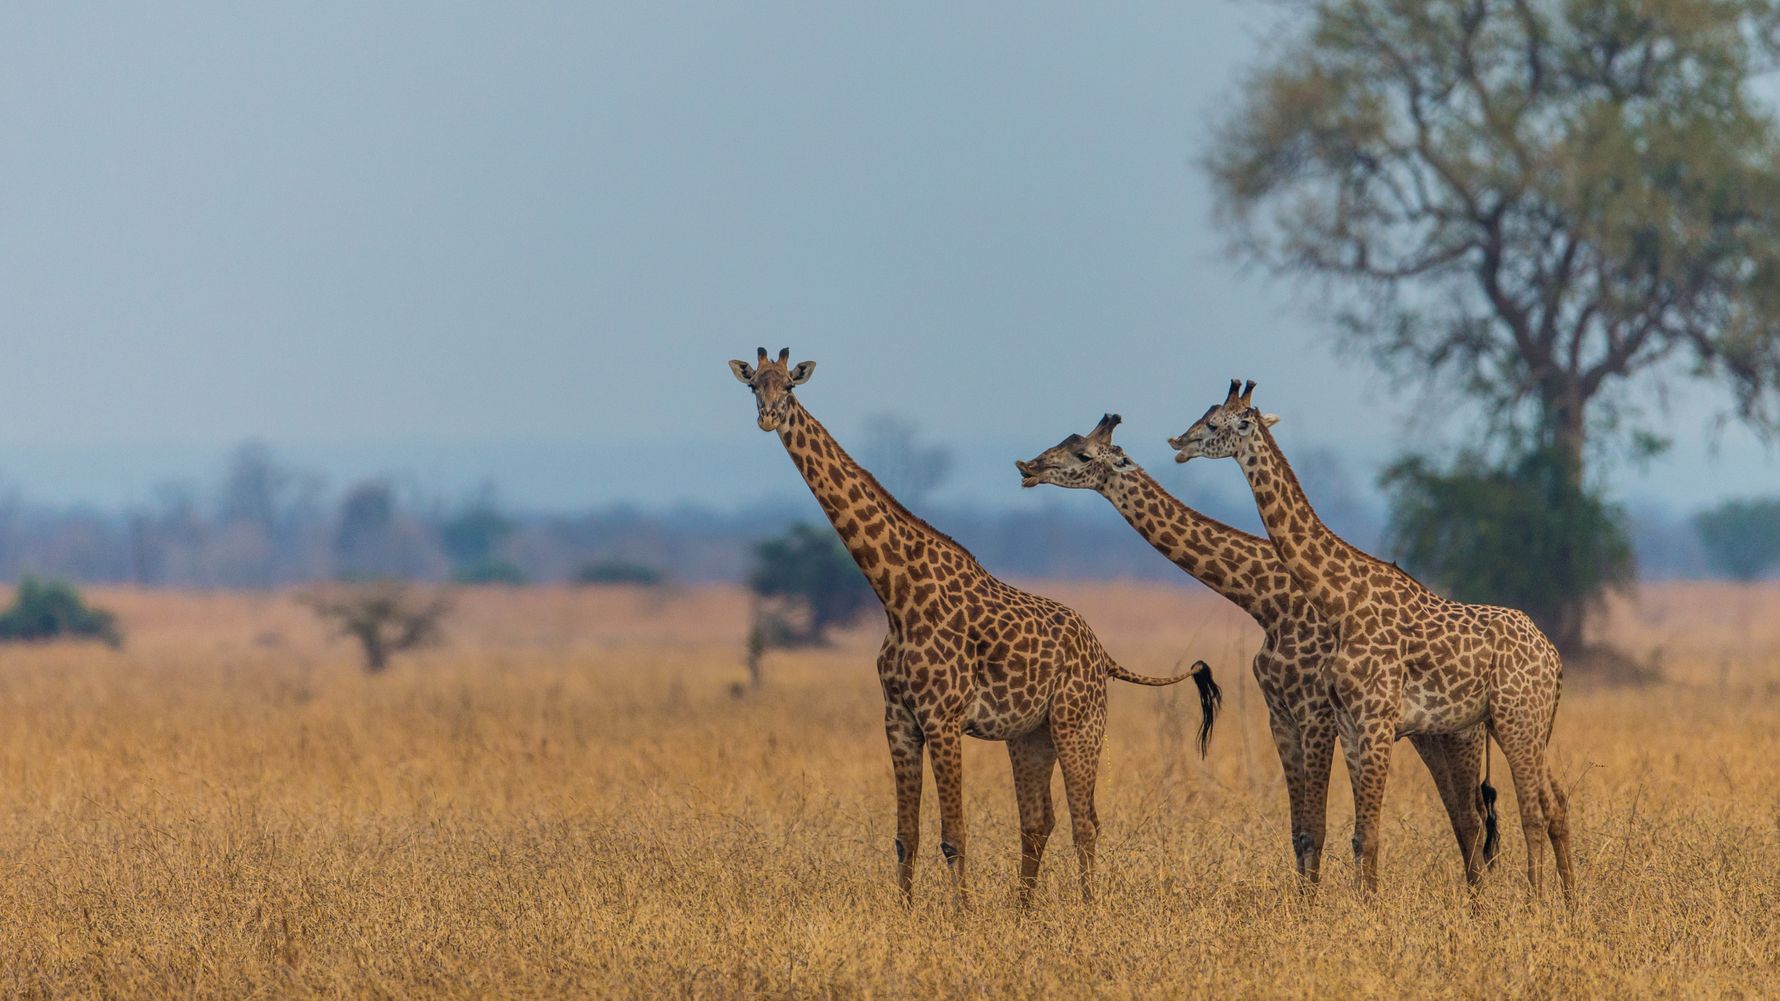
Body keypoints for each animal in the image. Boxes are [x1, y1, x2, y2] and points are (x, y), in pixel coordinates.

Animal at [728, 348, 1223, 905]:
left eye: (790, 386)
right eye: (754, 386)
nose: (768, 417)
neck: (895, 594)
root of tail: (1103, 653)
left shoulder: (942, 718)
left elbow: (953, 835)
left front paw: (961, 915)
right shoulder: (899, 719)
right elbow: (906, 835)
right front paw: (907, 913)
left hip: (1080, 723)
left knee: (1086, 821)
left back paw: (1088, 908)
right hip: (1030, 735)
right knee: (1039, 821)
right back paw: (1024, 911)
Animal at [1016, 413, 1499, 885]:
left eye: (1082, 454)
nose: (1027, 468)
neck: (1268, 602)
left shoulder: (1316, 713)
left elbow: (1316, 828)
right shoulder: (1280, 713)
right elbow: (1299, 831)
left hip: (1461, 734)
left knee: (1472, 818)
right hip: (1429, 734)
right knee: (1465, 816)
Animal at [1170, 380, 1572, 898]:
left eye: (1216, 424)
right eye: (1205, 416)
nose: (1178, 443)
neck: (1342, 600)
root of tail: (1554, 657)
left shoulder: (1375, 719)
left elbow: (1369, 835)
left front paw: (1369, 909)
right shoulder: (1347, 722)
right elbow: (1357, 834)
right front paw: (1362, 905)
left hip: (1515, 720)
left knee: (1530, 812)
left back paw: (1537, 903)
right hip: (1528, 724)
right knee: (1550, 802)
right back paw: (1569, 901)